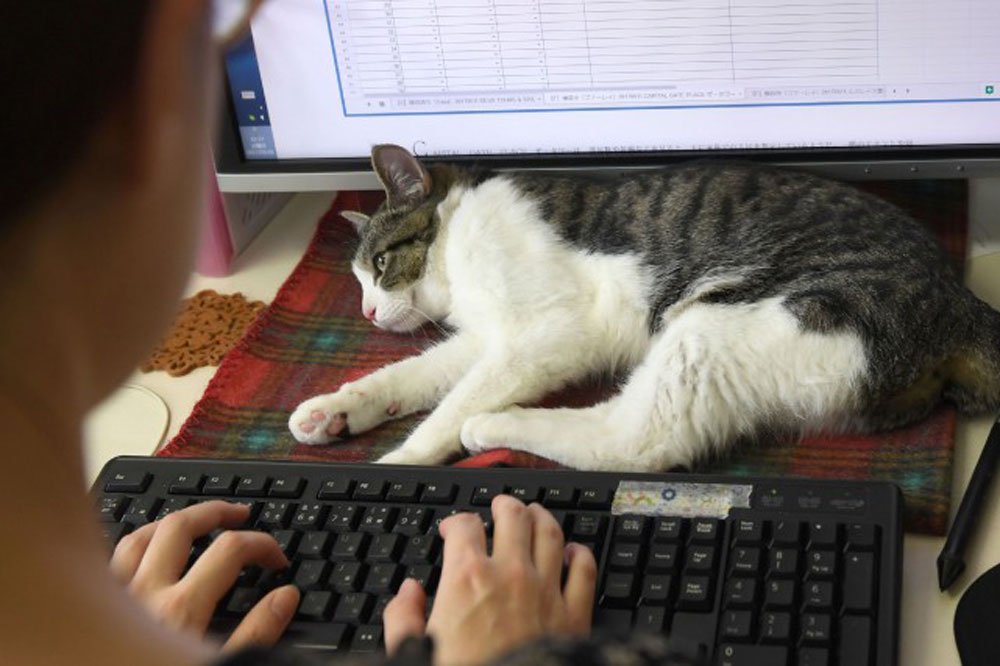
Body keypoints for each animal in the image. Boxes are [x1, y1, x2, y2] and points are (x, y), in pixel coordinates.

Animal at [286, 143, 996, 470]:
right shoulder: (487, 337)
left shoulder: (545, 333)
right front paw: (337, 410)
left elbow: (452, 400)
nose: (368, 313)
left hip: (723, 323)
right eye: (357, 282)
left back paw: (495, 426)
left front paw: (402, 463)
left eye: (379, 265)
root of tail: (958, 298)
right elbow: (411, 375)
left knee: (634, 442)